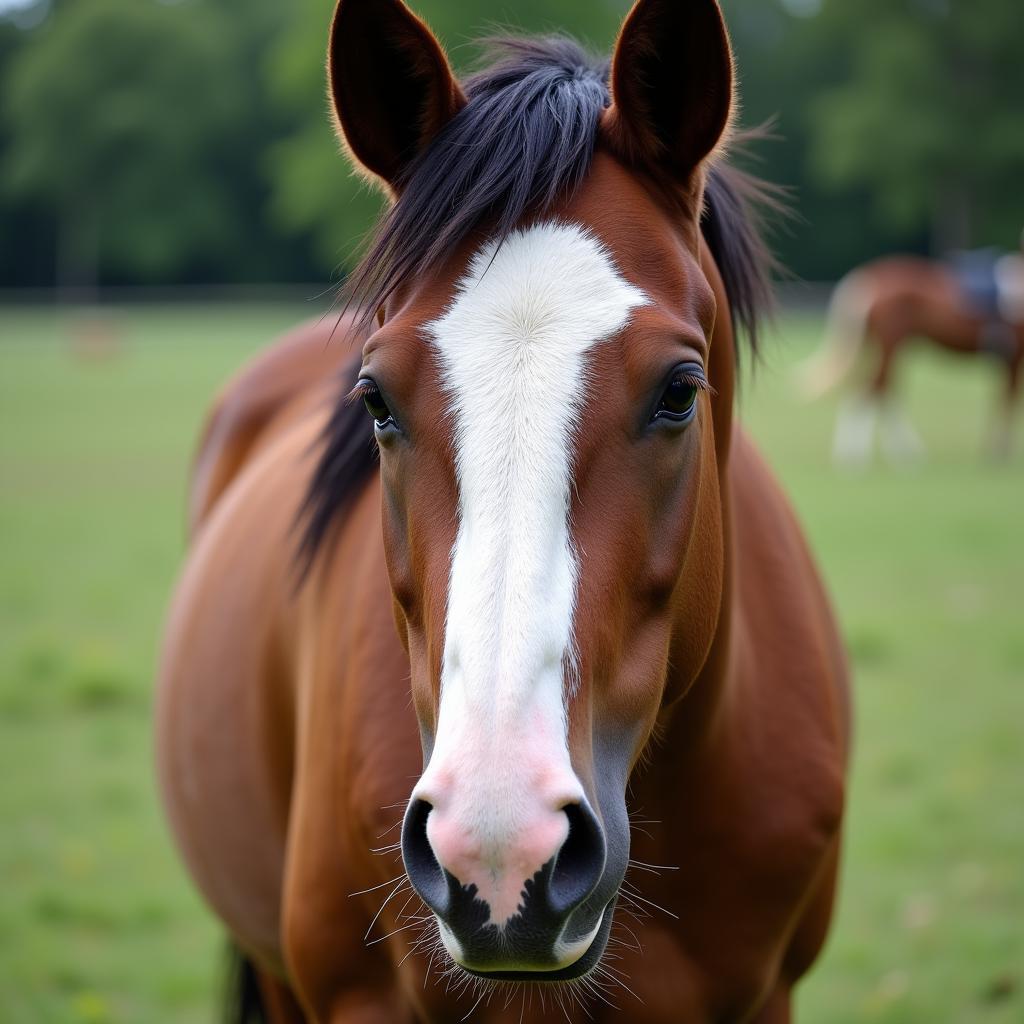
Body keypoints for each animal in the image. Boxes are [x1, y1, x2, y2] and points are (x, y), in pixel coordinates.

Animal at [798, 251, 1024, 464]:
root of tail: (870, 277)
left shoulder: (1008, 359)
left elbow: (1003, 396)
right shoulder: (1013, 357)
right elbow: (1009, 398)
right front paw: (999, 452)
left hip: (881, 346)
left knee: (871, 388)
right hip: (891, 344)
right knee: (878, 389)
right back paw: (891, 455)